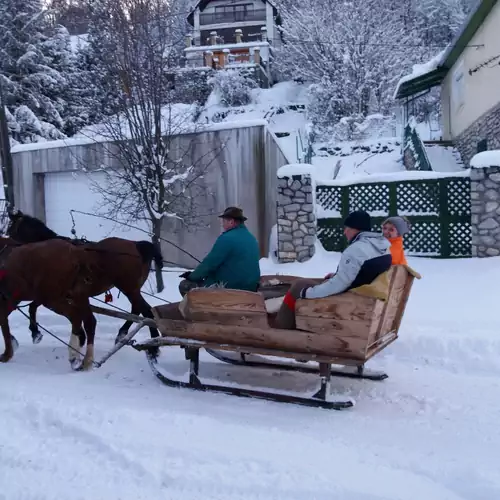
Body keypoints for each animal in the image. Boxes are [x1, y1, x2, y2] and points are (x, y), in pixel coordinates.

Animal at [0, 236, 98, 370]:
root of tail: (76, 253)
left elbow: (3, 322)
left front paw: (7, 353)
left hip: (53, 299)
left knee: (76, 317)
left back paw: (73, 355)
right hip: (78, 295)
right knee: (89, 321)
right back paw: (86, 359)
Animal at [6, 209, 164, 358]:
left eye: (10, 230)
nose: (10, 252)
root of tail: (136, 245)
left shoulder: (49, 293)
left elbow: (32, 307)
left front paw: (36, 333)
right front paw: (80, 337)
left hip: (129, 288)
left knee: (146, 312)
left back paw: (153, 346)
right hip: (132, 289)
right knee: (138, 309)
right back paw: (126, 335)